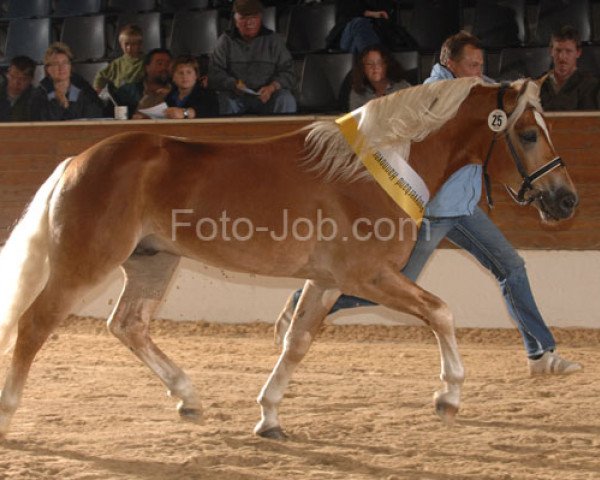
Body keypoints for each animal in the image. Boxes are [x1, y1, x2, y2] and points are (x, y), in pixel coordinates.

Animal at [0, 78, 580, 438]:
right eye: (528, 133)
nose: (565, 200)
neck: (375, 168)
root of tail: (77, 160)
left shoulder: (327, 281)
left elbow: (297, 342)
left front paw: (269, 416)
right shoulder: (367, 275)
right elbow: (441, 311)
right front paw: (449, 396)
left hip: (152, 262)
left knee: (128, 325)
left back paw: (188, 396)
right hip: (84, 264)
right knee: (33, 326)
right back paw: (10, 416)